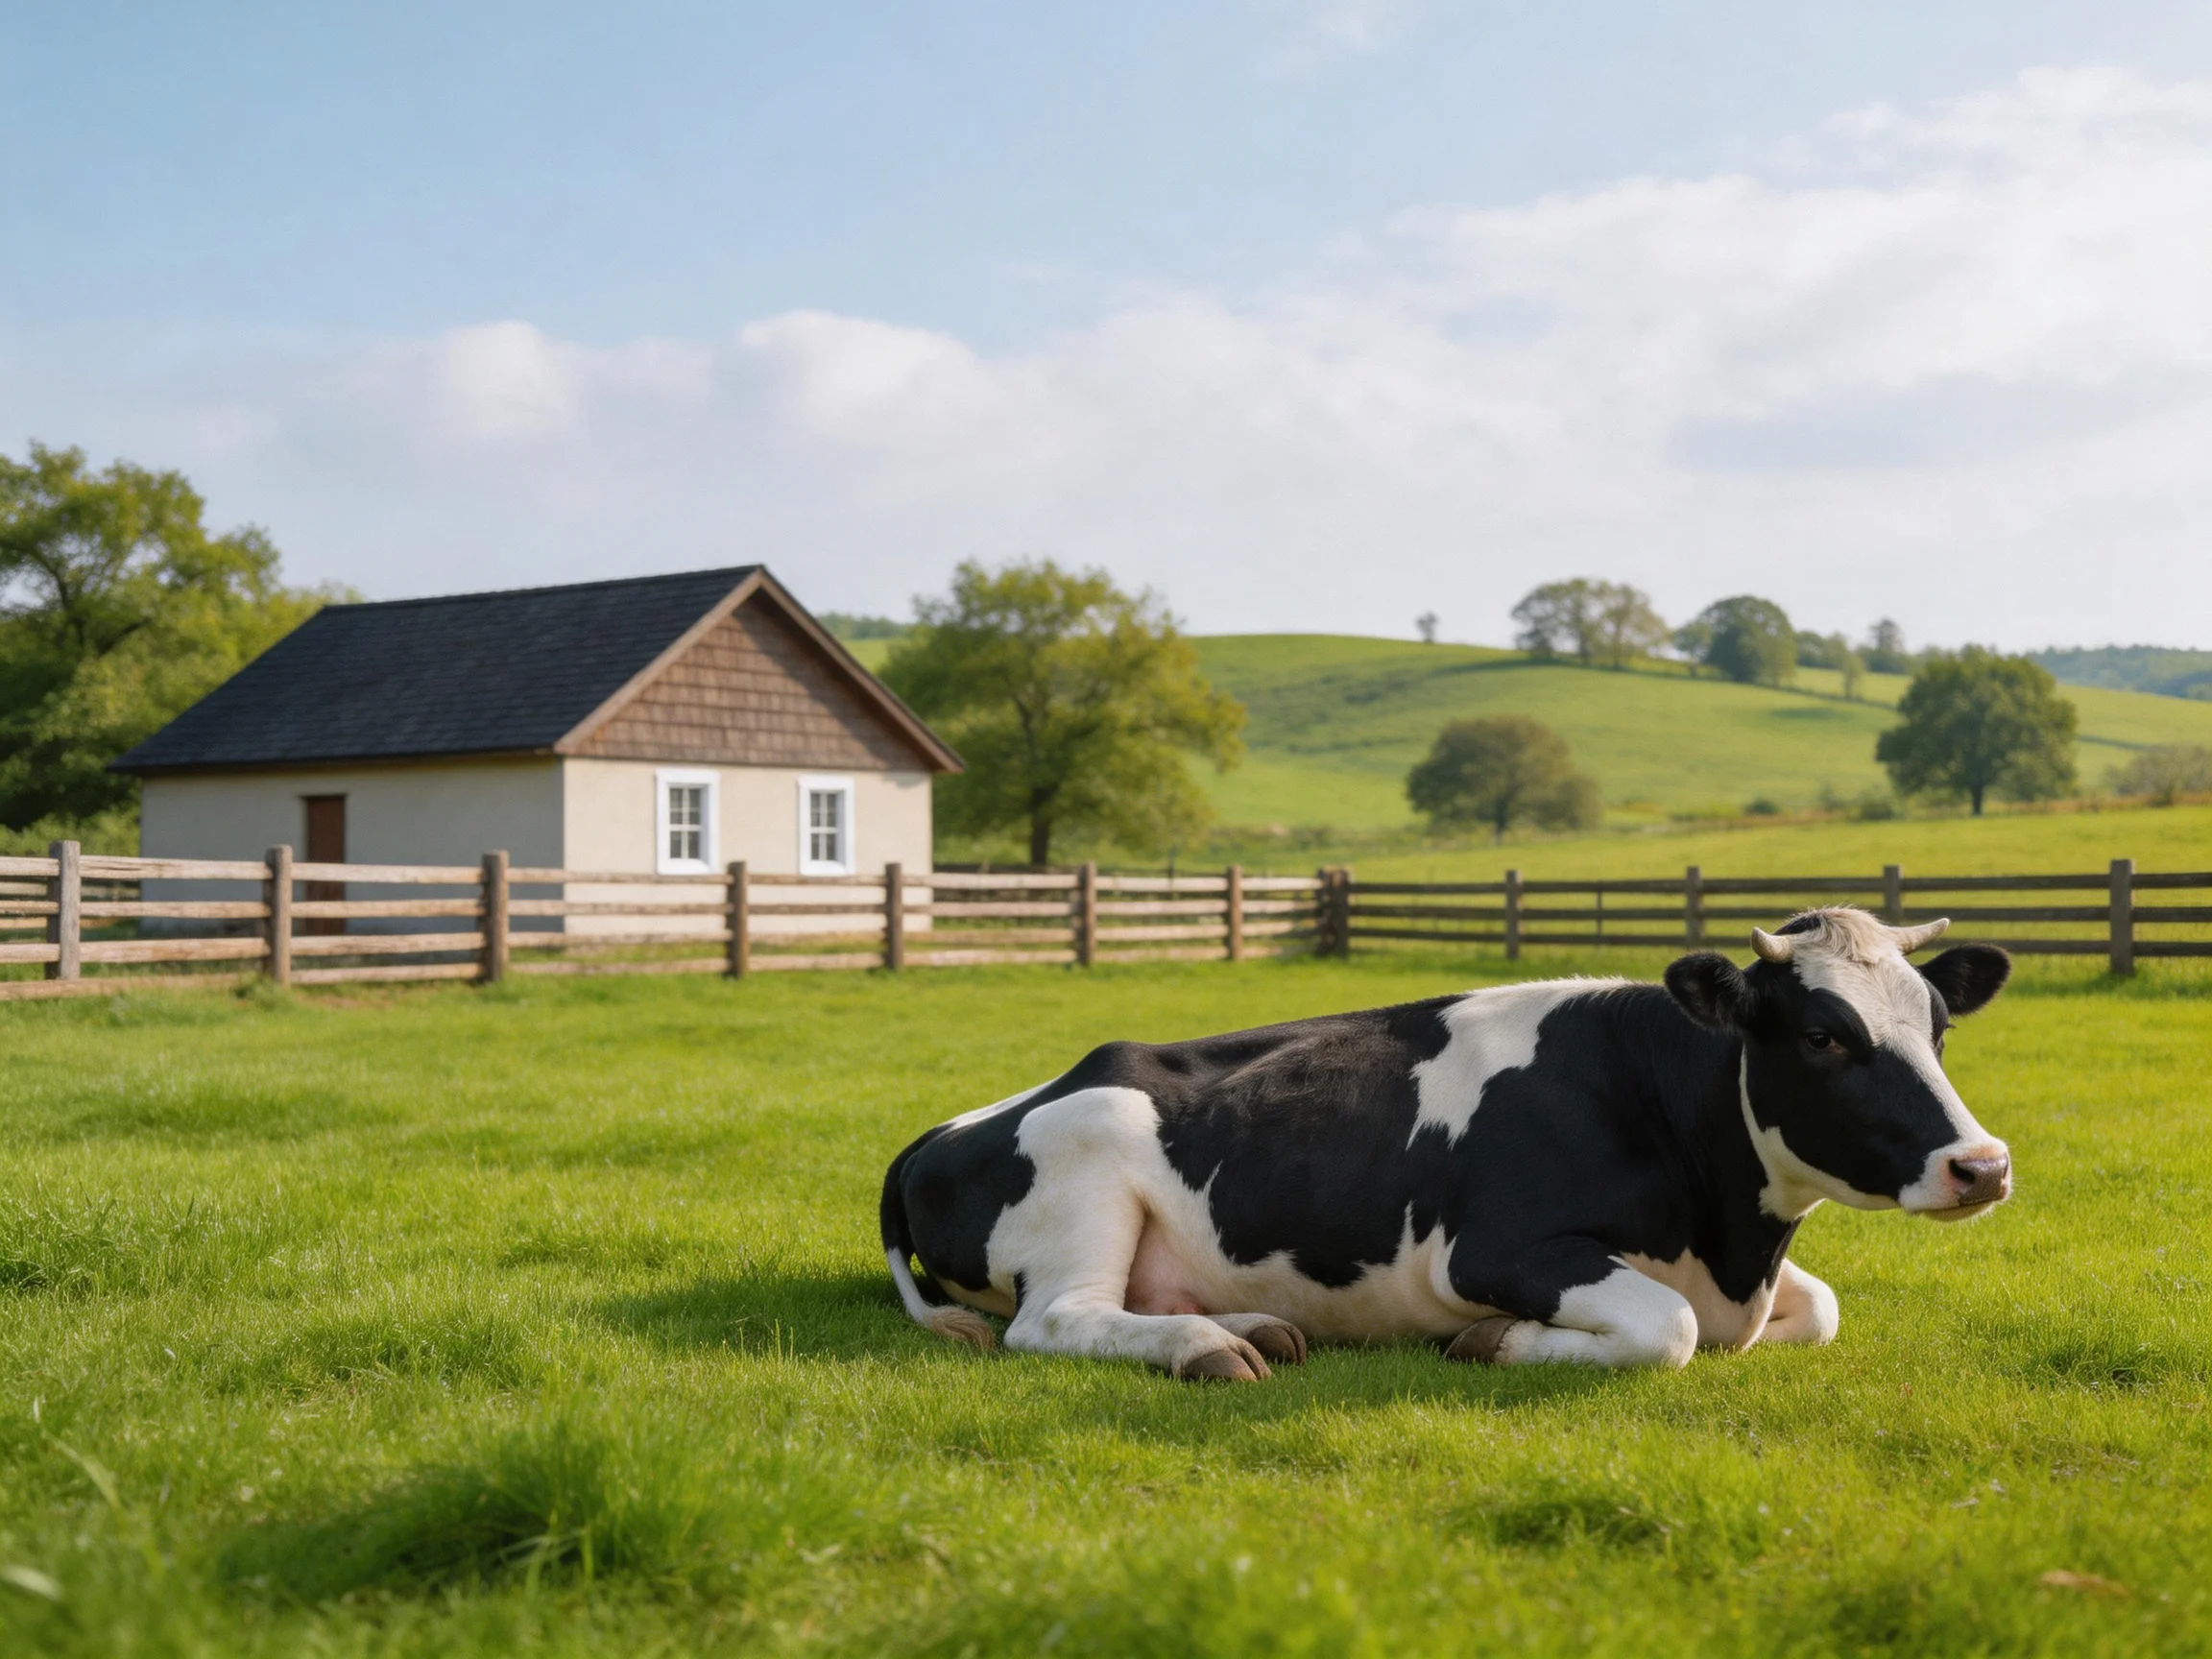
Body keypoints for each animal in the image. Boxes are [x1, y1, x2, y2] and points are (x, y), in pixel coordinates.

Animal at [879, 908, 2013, 1378]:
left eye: (1939, 1026)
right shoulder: (1496, 1251)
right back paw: (1206, 1349)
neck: (1732, 1240)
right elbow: (1669, 1329)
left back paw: (1258, 1328)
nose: (1983, 1165)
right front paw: (1491, 1342)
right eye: (1824, 1036)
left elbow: (1818, 1309)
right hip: (1089, 1167)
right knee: (1056, 1322)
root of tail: (930, 1135)